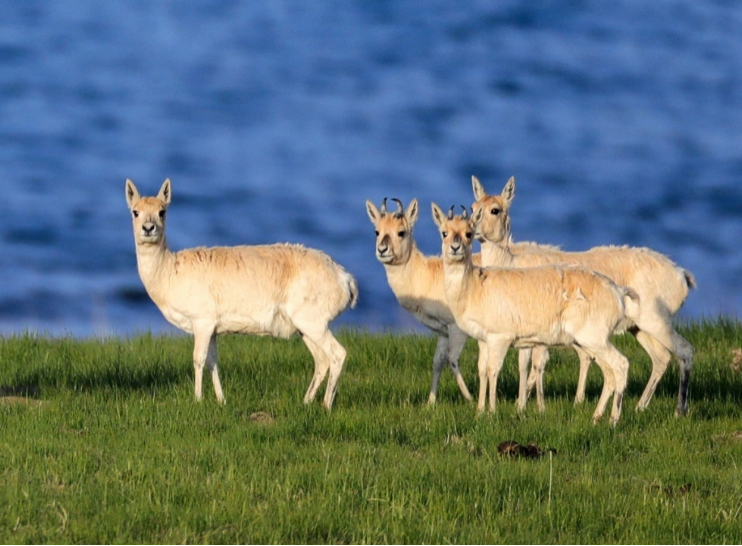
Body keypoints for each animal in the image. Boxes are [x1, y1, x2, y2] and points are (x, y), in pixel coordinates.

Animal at [126, 178, 358, 408]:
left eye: (162, 211)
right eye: (135, 211)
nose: (148, 228)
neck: (168, 271)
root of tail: (345, 277)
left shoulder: (202, 322)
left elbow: (198, 359)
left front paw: (198, 399)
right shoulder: (213, 329)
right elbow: (212, 361)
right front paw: (221, 400)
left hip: (313, 323)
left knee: (337, 354)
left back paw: (326, 405)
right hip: (306, 328)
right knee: (322, 360)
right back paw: (306, 402)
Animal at [470, 176, 696, 414]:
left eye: (495, 209)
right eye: (473, 207)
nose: (471, 228)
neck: (510, 263)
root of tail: (682, 275)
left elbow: (534, 363)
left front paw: (530, 407)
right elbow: (521, 364)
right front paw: (515, 406)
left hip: (655, 320)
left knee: (685, 351)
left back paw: (679, 410)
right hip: (638, 327)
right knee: (661, 357)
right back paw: (639, 407)